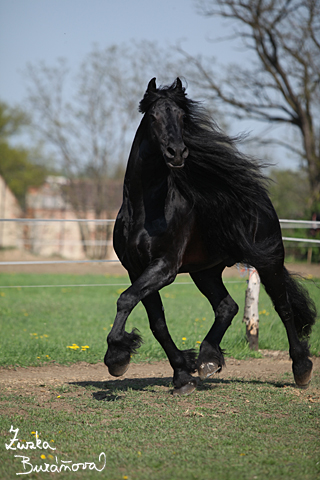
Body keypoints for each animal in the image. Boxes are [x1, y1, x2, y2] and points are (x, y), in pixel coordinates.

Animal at [104, 78, 316, 394]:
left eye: (182, 117)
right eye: (153, 117)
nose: (177, 152)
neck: (145, 208)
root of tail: (262, 201)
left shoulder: (164, 267)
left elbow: (126, 300)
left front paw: (117, 356)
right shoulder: (136, 268)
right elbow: (157, 322)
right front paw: (183, 374)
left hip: (269, 262)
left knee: (284, 308)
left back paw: (301, 369)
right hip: (205, 271)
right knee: (227, 307)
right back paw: (207, 359)